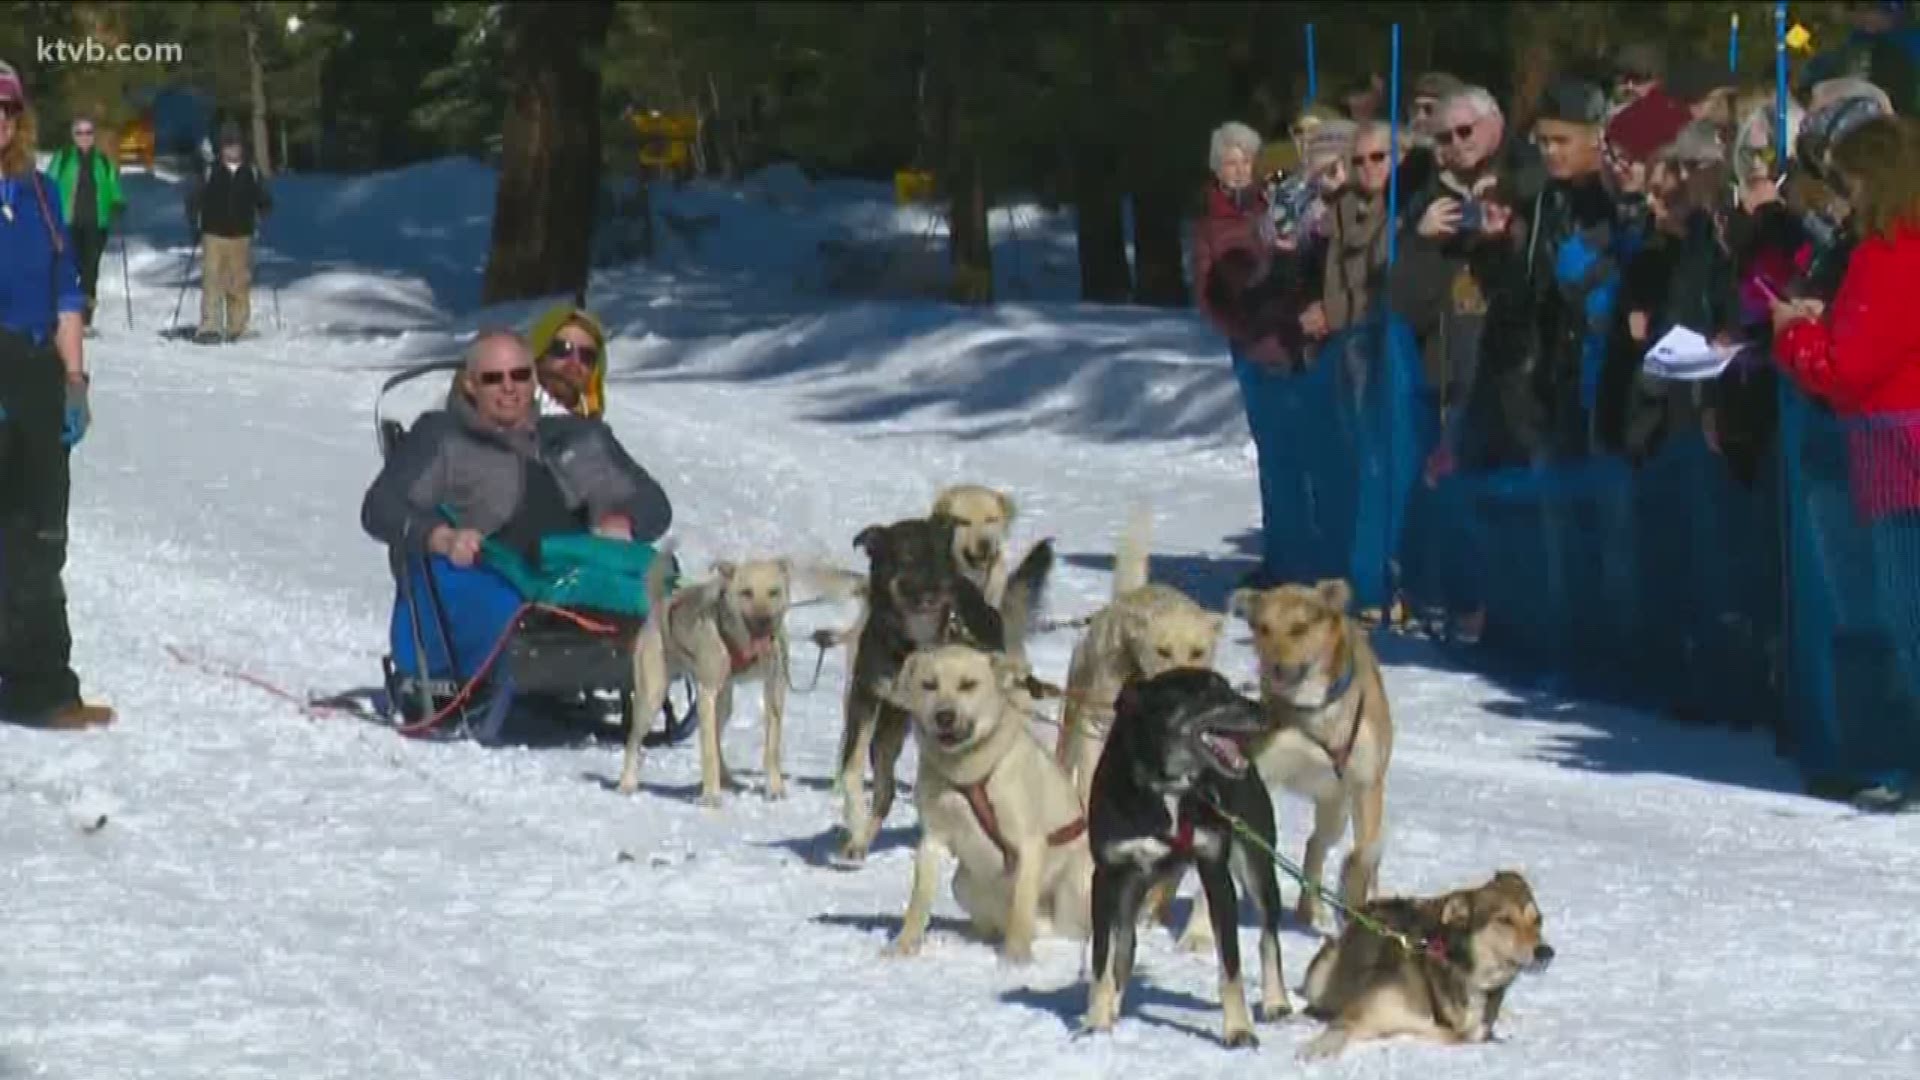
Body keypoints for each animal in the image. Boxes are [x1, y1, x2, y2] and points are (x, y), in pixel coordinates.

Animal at [887, 638, 1098, 957]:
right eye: (929, 685)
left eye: (968, 684)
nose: (944, 716)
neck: (968, 776)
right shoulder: (933, 839)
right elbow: (919, 901)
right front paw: (904, 945)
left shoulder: (1028, 845)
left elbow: (1021, 909)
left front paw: (1015, 959)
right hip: (963, 884)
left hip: (1074, 888)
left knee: (1067, 929)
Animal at [1297, 860, 1551, 1053]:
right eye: (1505, 920)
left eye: (1538, 920)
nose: (1546, 952)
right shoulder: (1359, 1012)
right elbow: (1340, 1030)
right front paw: (1317, 1049)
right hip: (1321, 974)